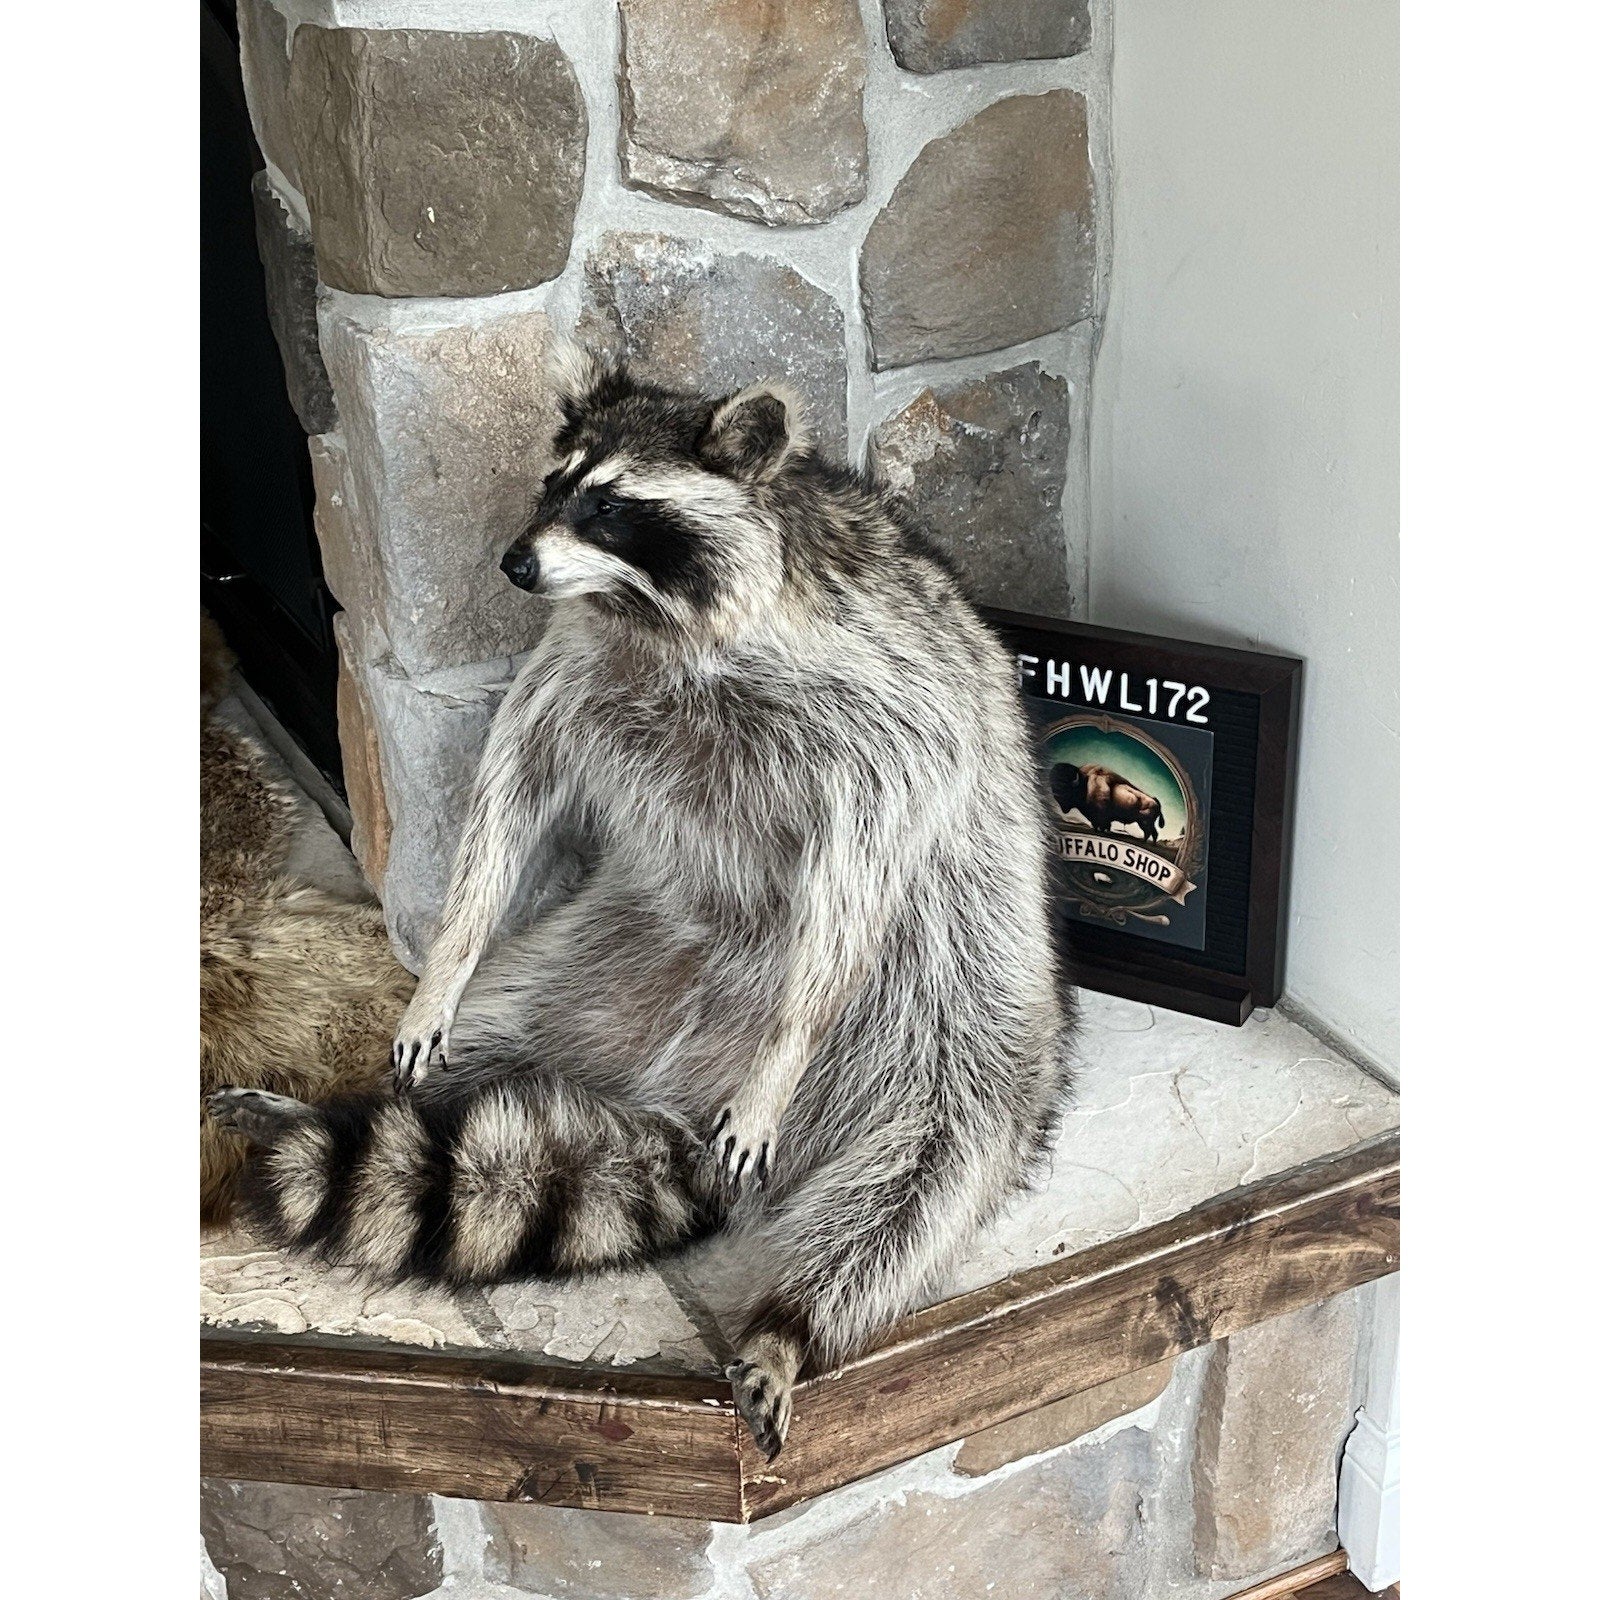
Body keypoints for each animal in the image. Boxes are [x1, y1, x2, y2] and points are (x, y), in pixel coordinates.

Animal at [212, 353, 1075, 1456]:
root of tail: (675, 1101)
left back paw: (792, 1320)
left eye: (611, 506)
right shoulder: (577, 669)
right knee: (486, 1036)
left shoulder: (884, 712)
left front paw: (785, 1046)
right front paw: (447, 956)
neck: (662, 619)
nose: (514, 564)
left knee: (918, 1189)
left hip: (954, 1030)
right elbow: (512, 793)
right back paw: (336, 1103)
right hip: (596, 959)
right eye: (552, 485)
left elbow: (859, 866)